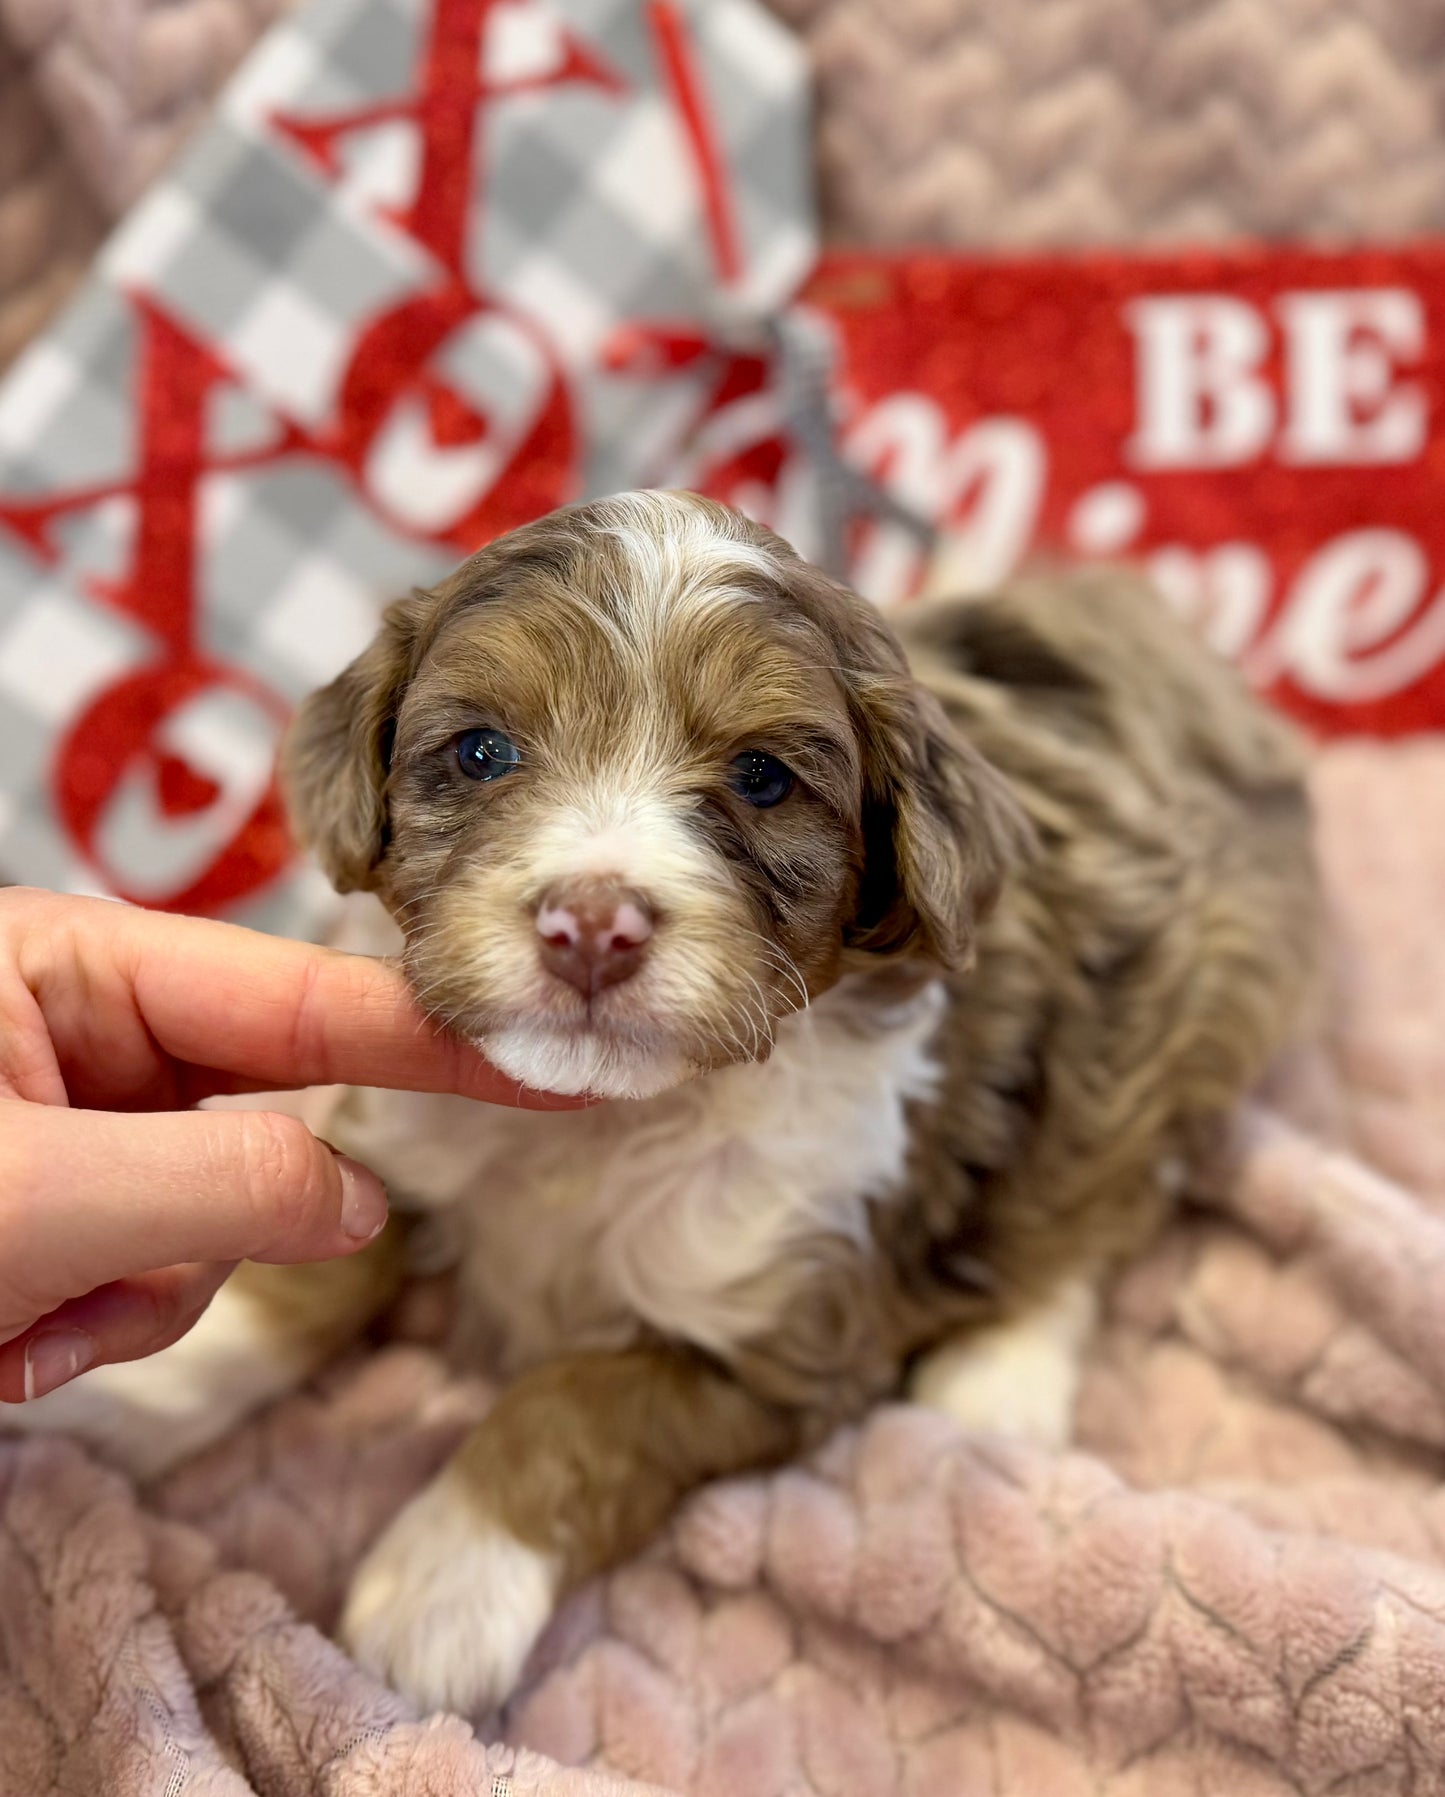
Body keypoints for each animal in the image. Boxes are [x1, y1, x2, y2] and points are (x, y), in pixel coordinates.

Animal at [8, 488, 1322, 1710]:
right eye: (480, 752)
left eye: (762, 778)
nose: (591, 924)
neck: (607, 1123)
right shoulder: (407, 1135)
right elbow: (315, 1275)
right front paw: (136, 1390)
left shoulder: (782, 1344)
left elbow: (576, 1405)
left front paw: (442, 1591)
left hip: (1195, 1001)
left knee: (1101, 1194)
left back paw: (999, 1382)